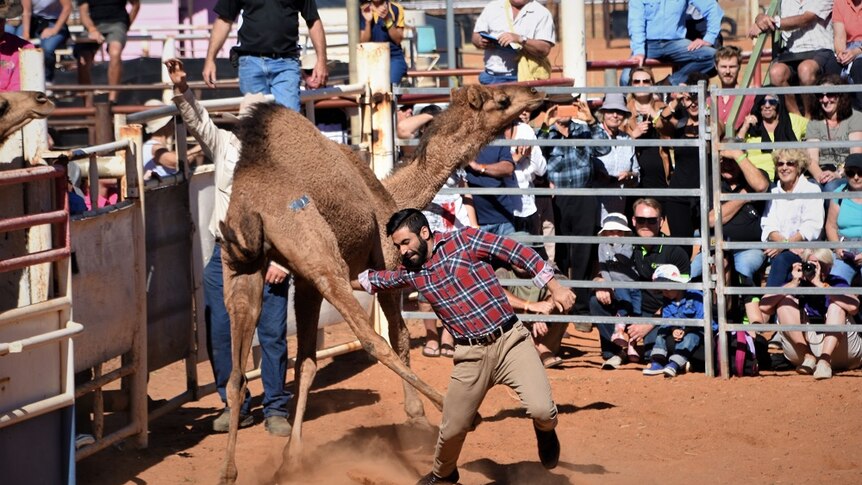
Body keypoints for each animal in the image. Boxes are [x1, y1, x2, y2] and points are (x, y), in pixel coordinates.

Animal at [221, 83, 548, 480]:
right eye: (501, 100)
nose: (536, 92)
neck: (393, 195)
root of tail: (252, 207)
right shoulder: (388, 264)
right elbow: (400, 338)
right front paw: (417, 417)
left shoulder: (304, 283)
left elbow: (307, 364)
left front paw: (291, 456)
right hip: (320, 256)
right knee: (373, 341)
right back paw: (457, 412)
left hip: (241, 269)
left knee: (236, 374)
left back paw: (228, 473)